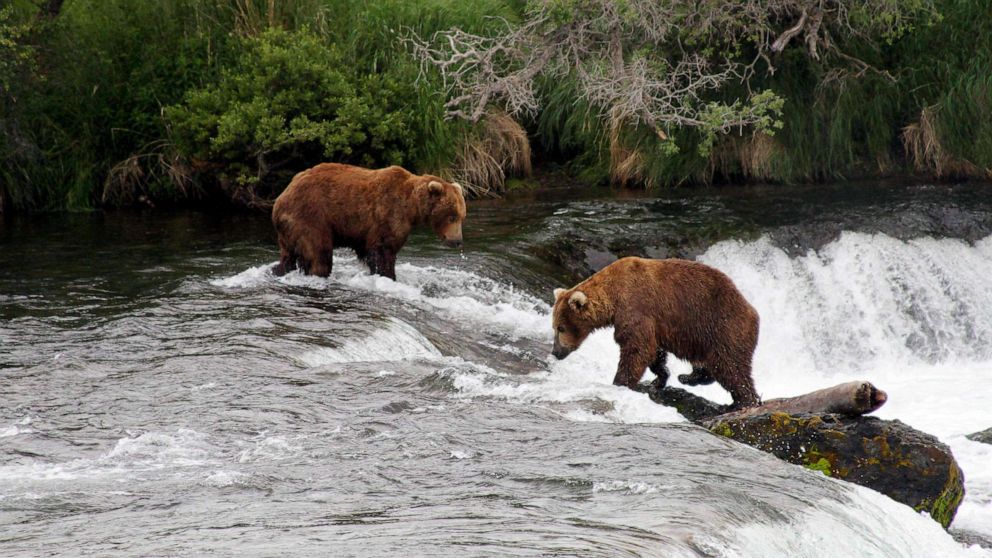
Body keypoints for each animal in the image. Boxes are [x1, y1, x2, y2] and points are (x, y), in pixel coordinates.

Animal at [272, 164, 468, 282]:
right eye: (452, 216)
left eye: (462, 216)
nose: (457, 241)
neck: (412, 206)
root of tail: (279, 200)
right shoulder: (388, 214)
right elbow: (383, 251)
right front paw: (388, 275)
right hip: (311, 217)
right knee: (318, 253)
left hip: (289, 230)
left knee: (288, 256)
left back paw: (278, 270)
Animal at [552, 258, 760, 412]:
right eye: (554, 327)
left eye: (561, 328)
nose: (555, 352)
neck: (614, 296)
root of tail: (753, 311)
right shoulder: (653, 323)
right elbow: (654, 351)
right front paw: (660, 377)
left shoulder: (636, 307)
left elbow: (637, 348)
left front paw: (619, 382)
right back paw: (688, 377)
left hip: (722, 327)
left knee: (730, 366)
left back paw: (742, 402)